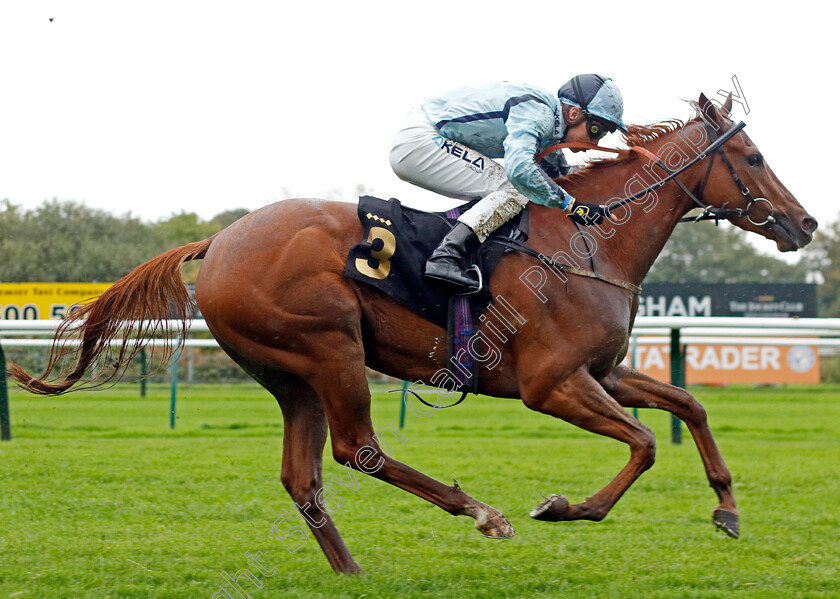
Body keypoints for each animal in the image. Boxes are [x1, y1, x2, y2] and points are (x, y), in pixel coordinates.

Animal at [9, 94, 816, 572]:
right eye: (752, 158)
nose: (805, 222)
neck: (589, 241)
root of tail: (219, 240)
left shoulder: (602, 371)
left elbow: (688, 406)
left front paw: (726, 508)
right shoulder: (551, 384)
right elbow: (645, 442)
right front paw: (566, 508)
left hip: (290, 375)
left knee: (303, 474)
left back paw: (350, 570)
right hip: (329, 347)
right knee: (357, 450)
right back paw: (482, 513)